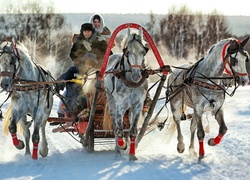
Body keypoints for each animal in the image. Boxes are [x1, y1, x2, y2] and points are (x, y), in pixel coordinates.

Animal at [103, 27, 148, 160]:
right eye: (128, 53)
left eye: (143, 52)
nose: (136, 76)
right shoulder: (120, 106)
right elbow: (119, 130)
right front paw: (122, 146)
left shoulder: (137, 106)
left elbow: (133, 131)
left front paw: (132, 155)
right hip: (111, 101)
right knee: (115, 125)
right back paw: (118, 150)